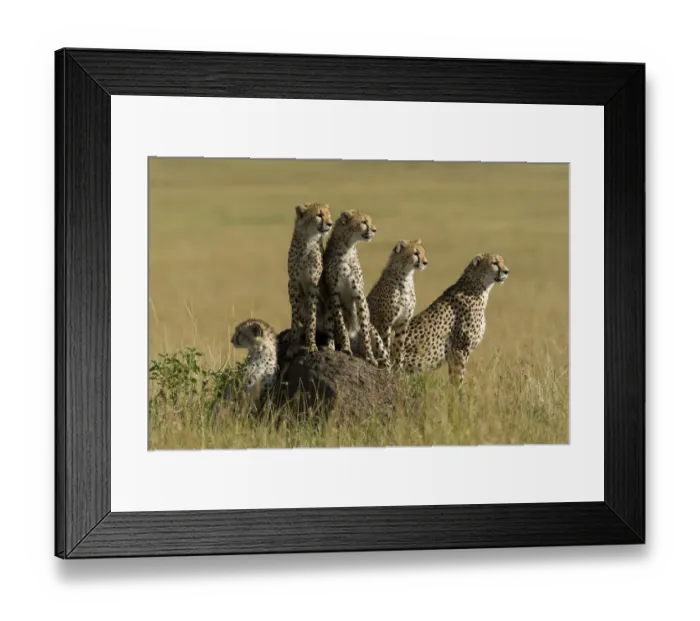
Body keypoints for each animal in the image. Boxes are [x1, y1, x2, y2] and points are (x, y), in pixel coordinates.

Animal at [322, 209, 389, 367]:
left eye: (370, 221)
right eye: (364, 222)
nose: (374, 229)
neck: (347, 248)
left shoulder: (359, 294)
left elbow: (364, 326)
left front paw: (370, 356)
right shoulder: (334, 295)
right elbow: (341, 325)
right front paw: (346, 348)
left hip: (376, 336)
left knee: (387, 359)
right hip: (328, 306)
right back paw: (330, 347)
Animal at [366, 239, 429, 371]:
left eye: (423, 252)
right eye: (415, 253)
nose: (426, 262)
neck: (405, 277)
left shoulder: (402, 323)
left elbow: (399, 347)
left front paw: (398, 370)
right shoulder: (386, 322)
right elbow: (385, 346)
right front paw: (387, 367)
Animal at [402, 252, 509, 389]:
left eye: (503, 261)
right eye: (494, 263)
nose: (507, 271)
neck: (479, 287)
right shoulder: (459, 350)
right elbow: (458, 378)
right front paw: (458, 392)